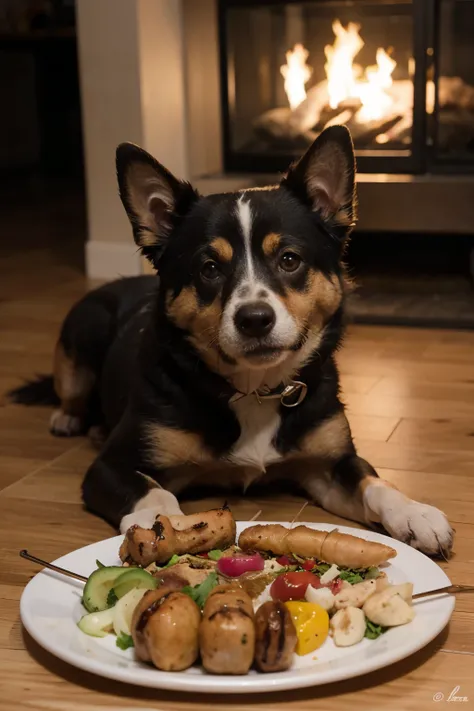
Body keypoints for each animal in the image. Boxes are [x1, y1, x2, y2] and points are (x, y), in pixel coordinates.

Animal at [11, 126, 454, 556]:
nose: (254, 319)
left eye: (289, 259)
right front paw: (163, 526)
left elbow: (373, 482)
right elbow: (153, 495)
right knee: (70, 392)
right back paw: (70, 419)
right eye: (209, 268)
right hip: (82, 332)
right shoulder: (109, 467)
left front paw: (415, 513)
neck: (254, 390)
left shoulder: (330, 463)